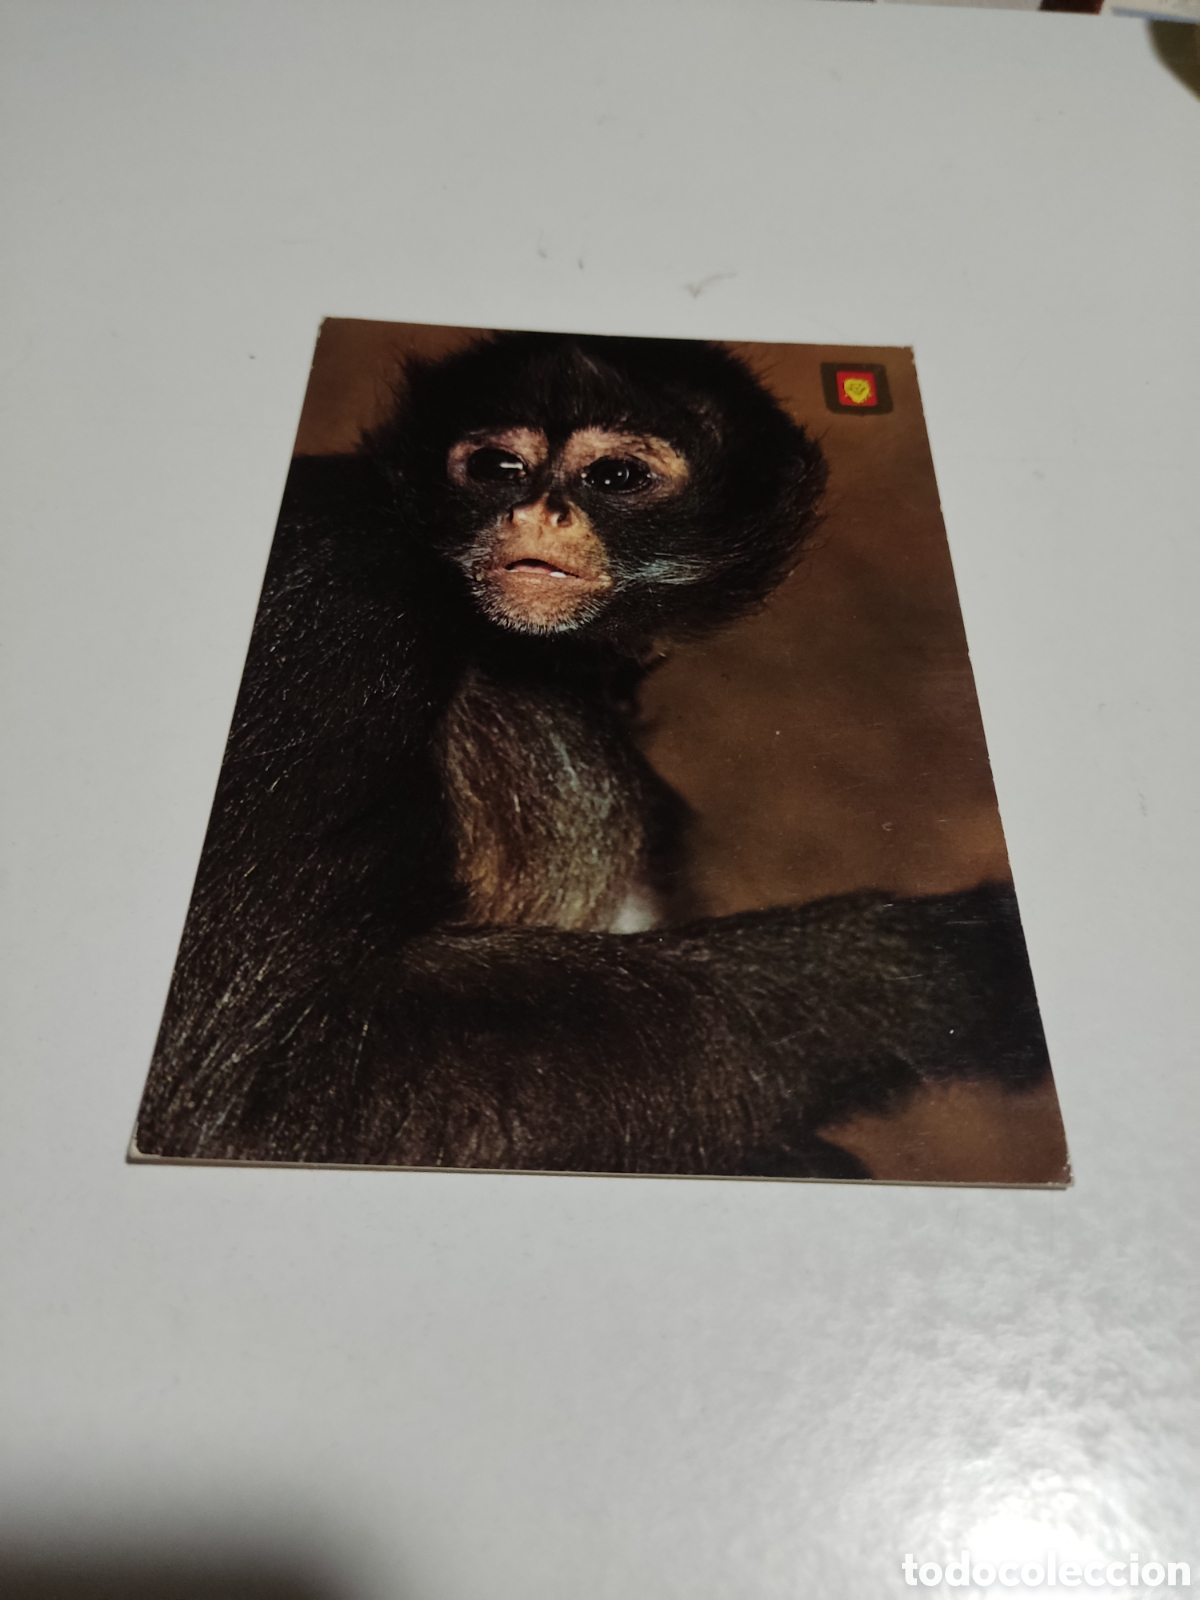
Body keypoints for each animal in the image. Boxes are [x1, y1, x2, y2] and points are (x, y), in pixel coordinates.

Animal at [133, 331, 1051, 1179]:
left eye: (614, 478)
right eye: (496, 466)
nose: (537, 511)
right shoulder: (335, 602)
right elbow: (248, 1095)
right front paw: (963, 968)